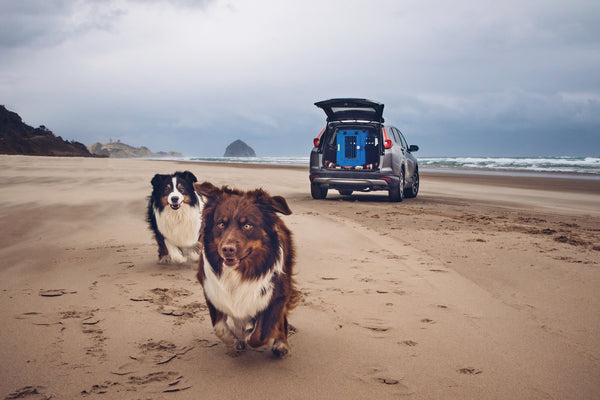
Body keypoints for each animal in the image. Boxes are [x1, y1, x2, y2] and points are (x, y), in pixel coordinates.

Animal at [193, 181, 298, 356]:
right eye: (221, 224)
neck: (239, 272)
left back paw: (280, 344)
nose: (227, 249)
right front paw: (235, 341)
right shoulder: (211, 290)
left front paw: (251, 333)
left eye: (247, 225)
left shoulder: (276, 293)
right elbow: (219, 328)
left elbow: (259, 334)